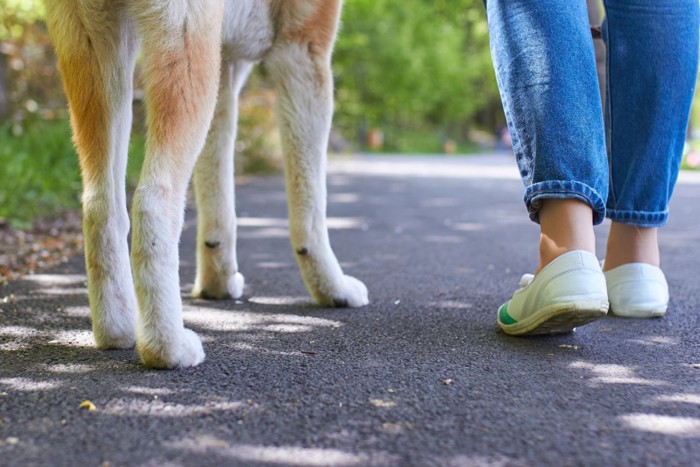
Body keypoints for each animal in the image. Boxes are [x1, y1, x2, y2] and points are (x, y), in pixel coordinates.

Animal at [44, 0, 370, 372]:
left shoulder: (226, 64)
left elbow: (218, 191)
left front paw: (218, 283)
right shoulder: (303, 48)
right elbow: (311, 203)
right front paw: (333, 288)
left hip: (99, 53)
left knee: (101, 205)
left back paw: (116, 330)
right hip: (184, 50)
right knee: (153, 201)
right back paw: (166, 347)